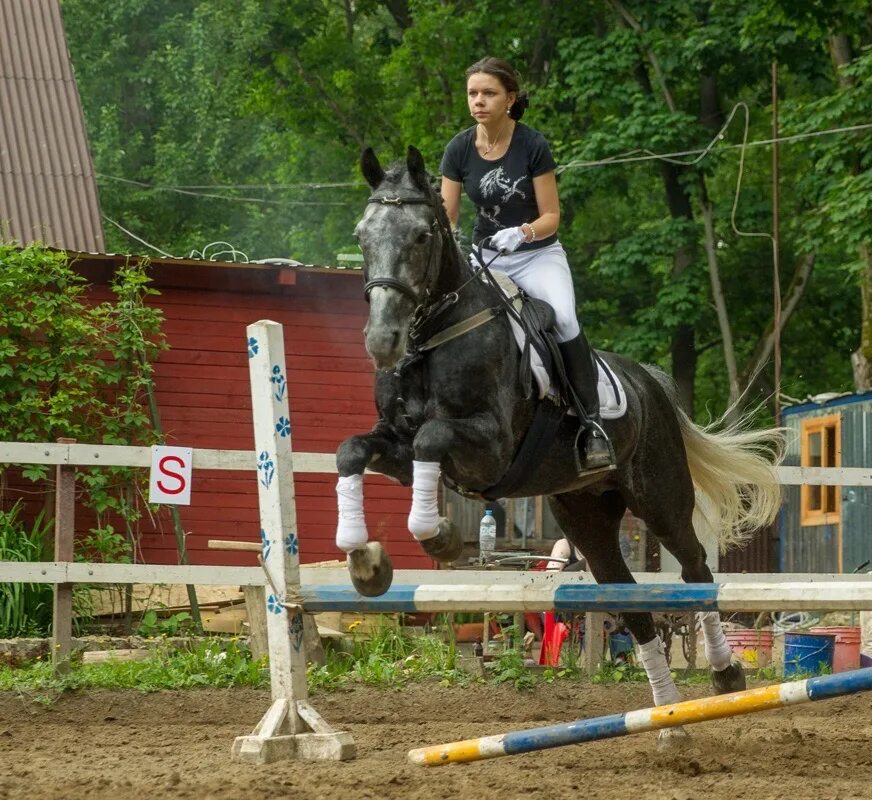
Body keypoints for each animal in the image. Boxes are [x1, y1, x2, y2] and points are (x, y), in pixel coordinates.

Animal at [334, 147, 784, 720]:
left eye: (420, 235)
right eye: (362, 235)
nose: (382, 340)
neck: (434, 338)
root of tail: (649, 382)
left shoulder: (490, 448)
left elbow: (432, 436)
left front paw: (439, 538)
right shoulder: (396, 450)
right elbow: (352, 450)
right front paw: (364, 562)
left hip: (660, 499)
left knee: (696, 571)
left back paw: (726, 674)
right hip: (586, 515)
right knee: (631, 603)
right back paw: (667, 714)